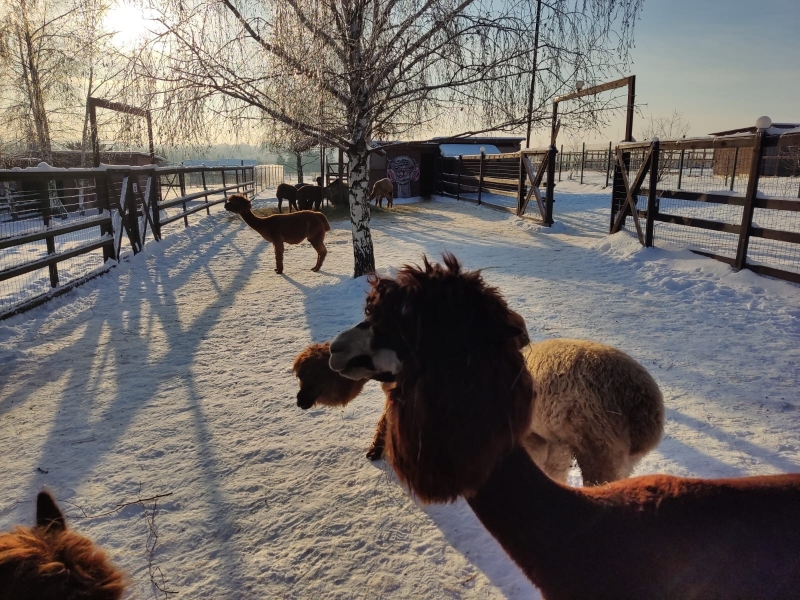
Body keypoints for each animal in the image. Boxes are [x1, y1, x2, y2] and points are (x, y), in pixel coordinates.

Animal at [326, 253, 800, 599]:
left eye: (402, 319)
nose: (334, 348)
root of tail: (643, 406)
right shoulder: (551, 443)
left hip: (601, 448)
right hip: (613, 454)